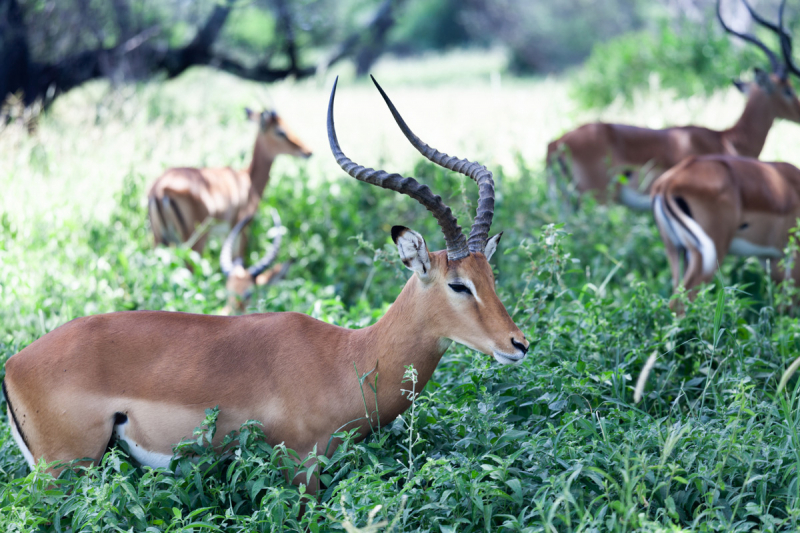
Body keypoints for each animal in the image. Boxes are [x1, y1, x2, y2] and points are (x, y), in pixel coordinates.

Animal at [148, 107, 310, 255]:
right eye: (281, 131)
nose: (307, 151)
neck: (248, 181)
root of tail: (159, 189)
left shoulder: (224, 235)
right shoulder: (240, 230)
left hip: (160, 239)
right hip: (195, 241)